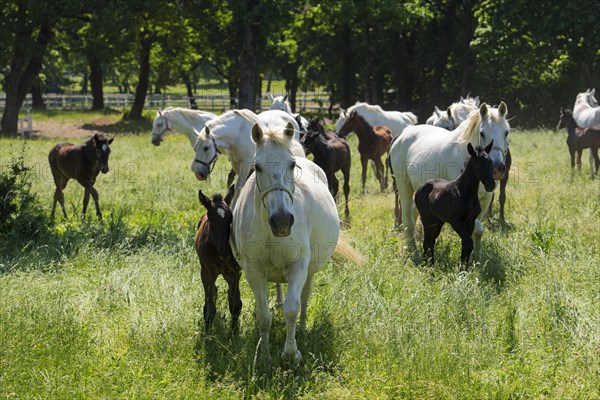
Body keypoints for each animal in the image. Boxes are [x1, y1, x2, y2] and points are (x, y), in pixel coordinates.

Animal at [195, 189, 241, 332]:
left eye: (230, 219)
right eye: (211, 219)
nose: (225, 252)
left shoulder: (234, 272)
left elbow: (235, 304)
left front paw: (234, 333)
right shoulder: (207, 272)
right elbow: (209, 306)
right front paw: (207, 334)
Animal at [230, 121, 360, 362]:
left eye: (291, 165)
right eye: (257, 167)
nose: (281, 221)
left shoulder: (298, 266)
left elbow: (293, 308)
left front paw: (291, 352)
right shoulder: (254, 272)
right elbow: (264, 315)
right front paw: (264, 353)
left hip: (310, 271)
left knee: (304, 297)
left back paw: (302, 328)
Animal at [390, 102, 510, 256]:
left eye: (506, 132)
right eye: (482, 133)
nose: (497, 169)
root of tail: (404, 133)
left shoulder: (485, 200)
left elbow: (478, 232)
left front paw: (476, 257)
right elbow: (477, 229)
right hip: (404, 187)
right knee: (408, 221)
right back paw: (414, 253)